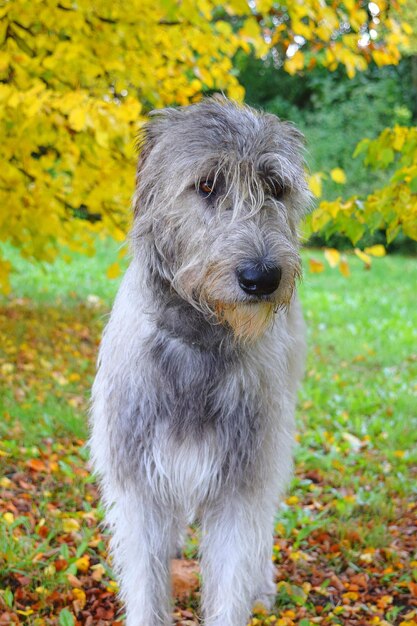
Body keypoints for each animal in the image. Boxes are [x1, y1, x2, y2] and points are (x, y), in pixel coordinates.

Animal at [92, 96, 312, 624]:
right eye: (207, 185)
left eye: (276, 188)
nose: (263, 278)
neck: (199, 340)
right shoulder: (138, 486)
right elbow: (146, 583)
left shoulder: (240, 484)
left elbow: (232, 577)